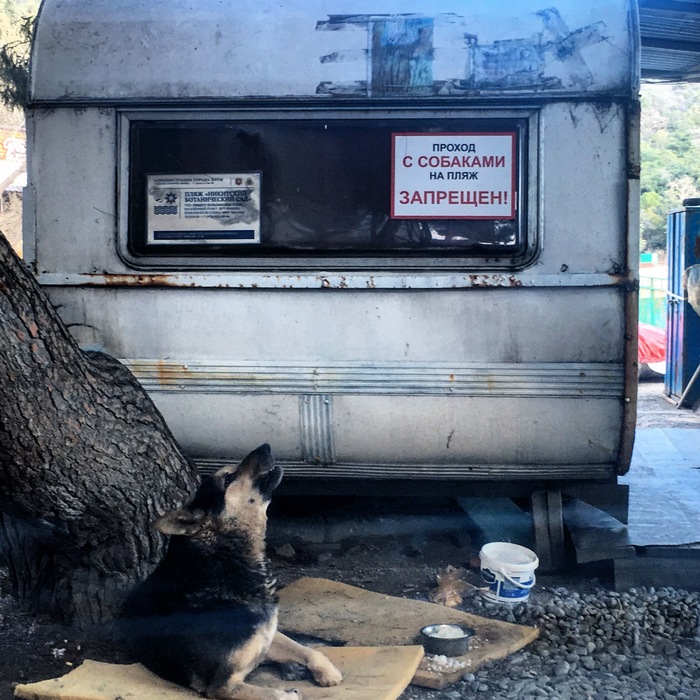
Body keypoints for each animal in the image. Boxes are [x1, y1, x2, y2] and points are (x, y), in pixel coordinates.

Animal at [126, 446, 344, 696]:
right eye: (228, 479)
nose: (266, 446)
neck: (226, 561)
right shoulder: (222, 685)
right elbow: (276, 695)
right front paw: (290, 691)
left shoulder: (265, 634)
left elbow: (308, 650)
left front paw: (327, 672)